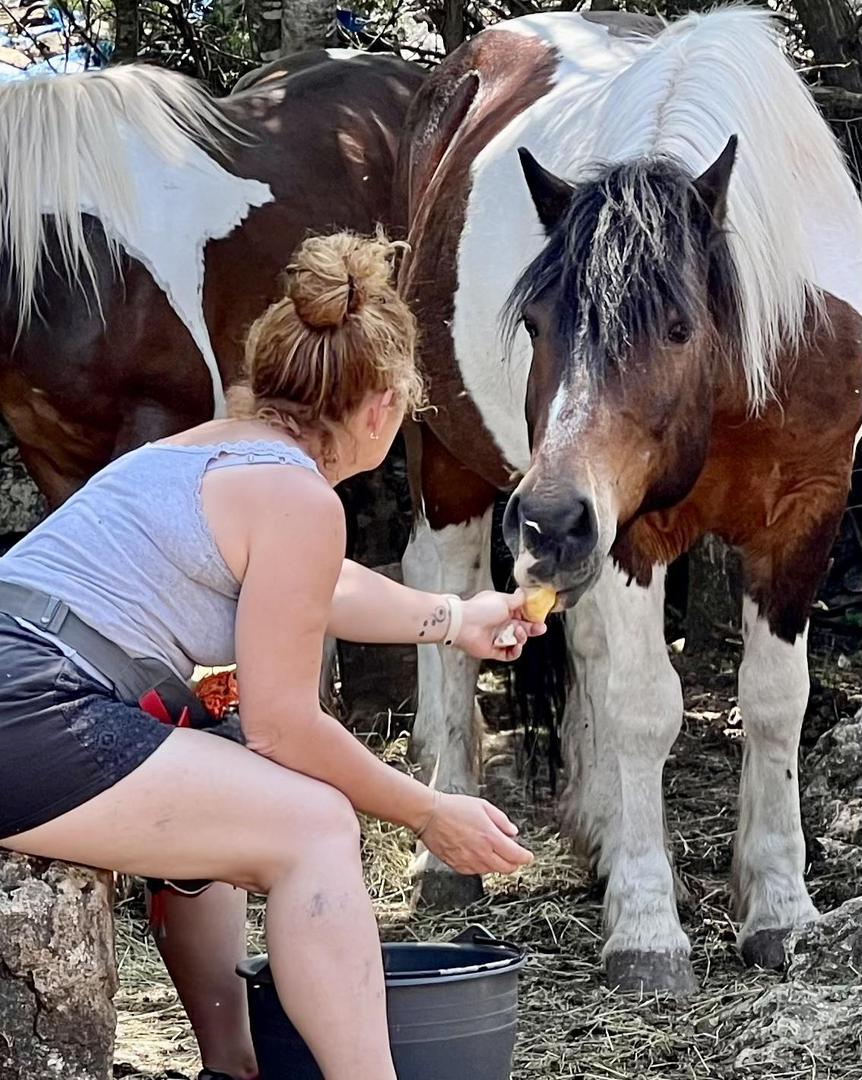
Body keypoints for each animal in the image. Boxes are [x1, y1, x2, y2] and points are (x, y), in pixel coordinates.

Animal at [398, 6, 862, 995]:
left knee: (590, 652)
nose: (546, 516)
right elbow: (648, 707)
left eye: (679, 326)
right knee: (445, 595)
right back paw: (450, 850)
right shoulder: (629, 533)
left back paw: (603, 835)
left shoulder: (805, 517)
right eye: (537, 323)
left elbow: (775, 703)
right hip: (458, 468)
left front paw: (781, 910)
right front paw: (648, 932)